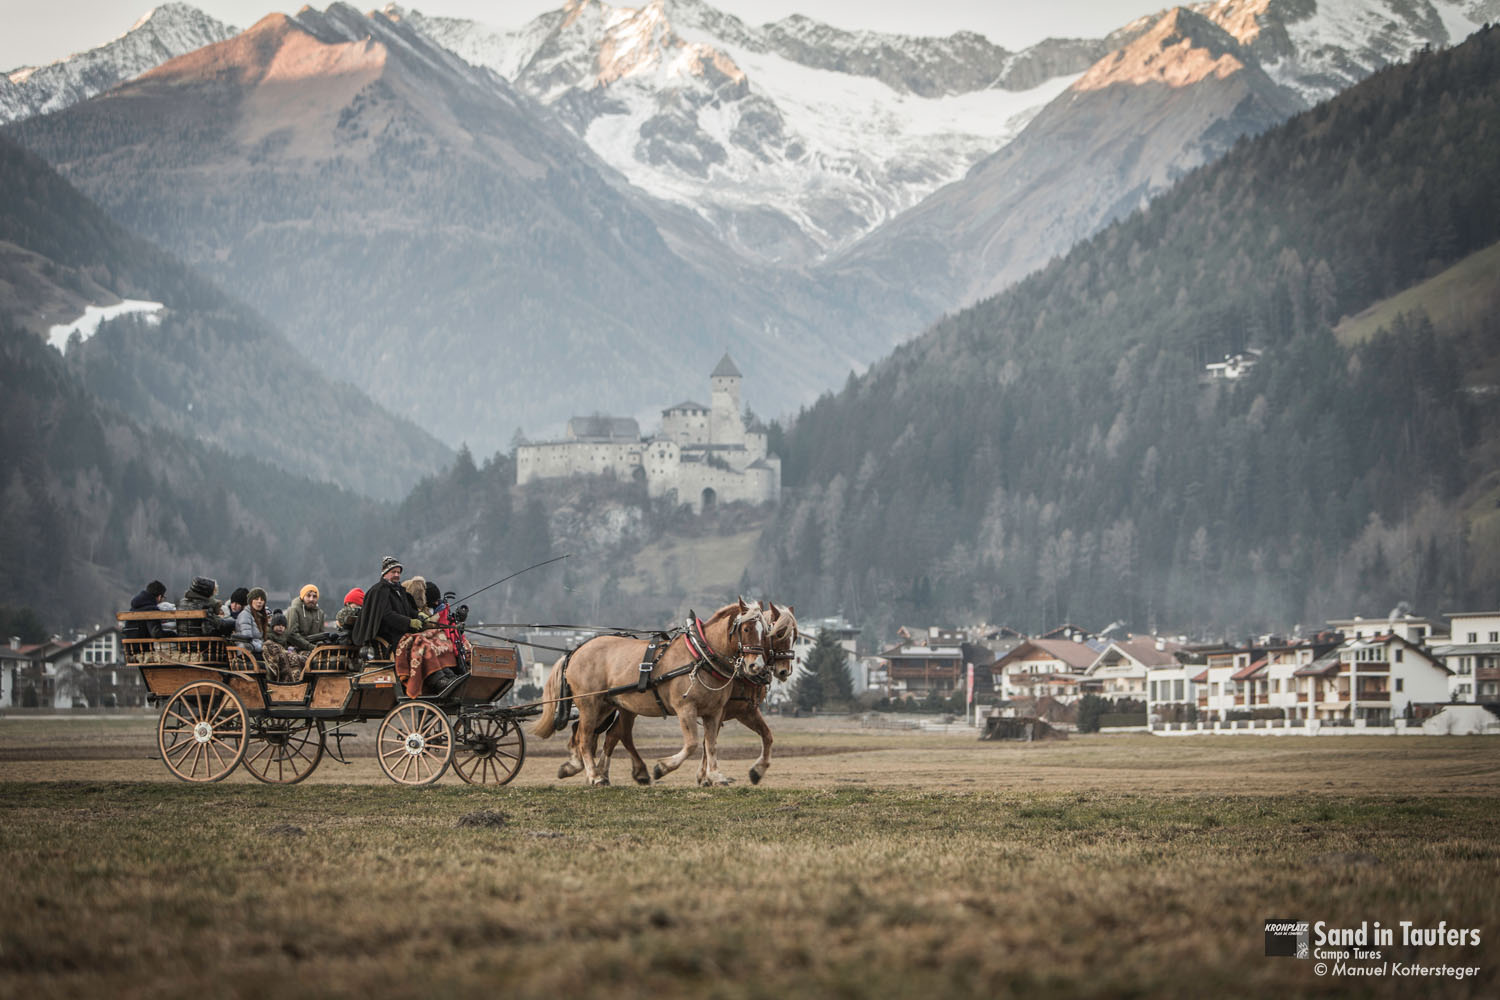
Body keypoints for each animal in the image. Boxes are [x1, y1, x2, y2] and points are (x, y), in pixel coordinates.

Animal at [120, 605, 537, 785]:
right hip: (210, 692)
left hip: (278, 716)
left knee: (275, 731)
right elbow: (417, 737)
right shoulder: (417, 702)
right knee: (211, 725)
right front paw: (416, 757)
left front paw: (484, 759)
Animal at [564, 602, 798, 791]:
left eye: (794, 636)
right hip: (590, 704)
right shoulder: (689, 709)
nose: (782, 670)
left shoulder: (730, 711)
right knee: (586, 737)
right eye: (777, 634)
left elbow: (750, 738)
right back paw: (594, 774)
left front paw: (734, 774)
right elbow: (696, 743)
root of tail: (577, 650)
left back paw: (609, 771)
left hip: (614, 705)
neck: (703, 656)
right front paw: (670, 768)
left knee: (611, 735)